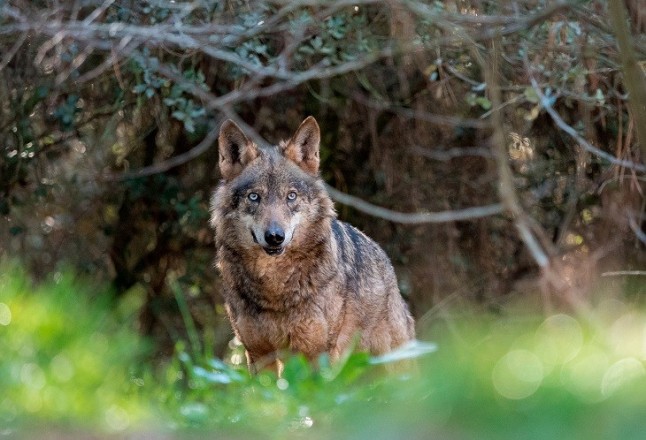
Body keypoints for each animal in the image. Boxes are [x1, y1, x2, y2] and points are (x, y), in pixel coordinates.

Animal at [210, 116, 415, 373]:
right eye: (254, 197)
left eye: (291, 196)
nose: (275, 236)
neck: (274, 288)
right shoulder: (258, 354)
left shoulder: (317, 352)